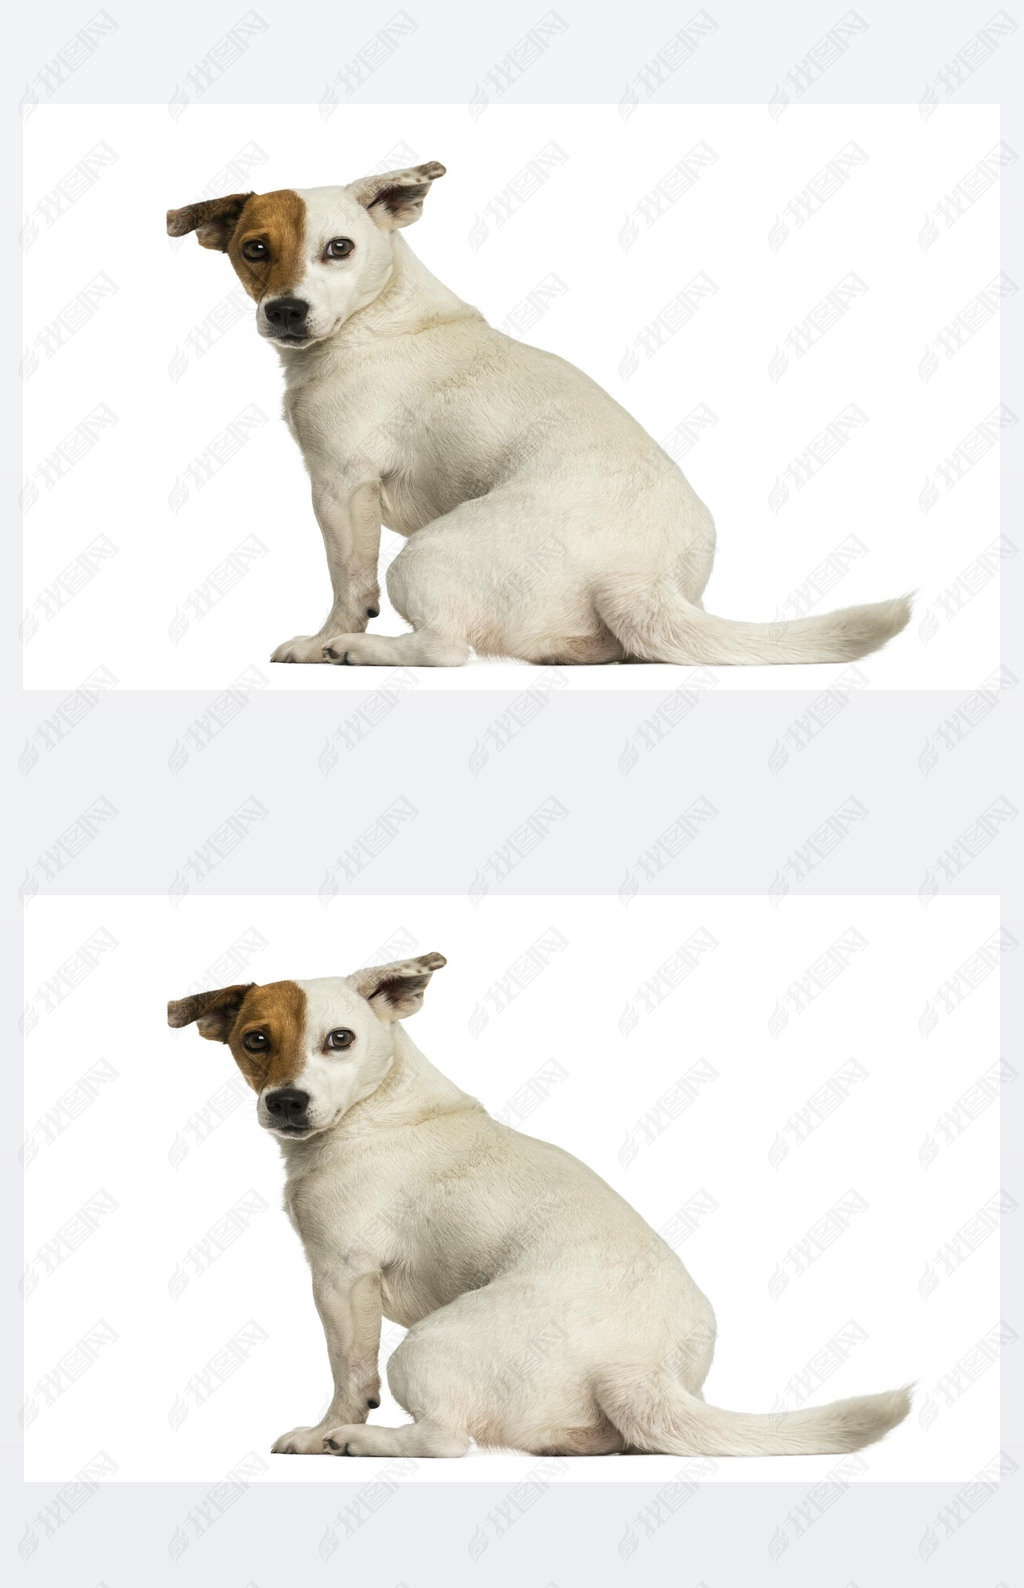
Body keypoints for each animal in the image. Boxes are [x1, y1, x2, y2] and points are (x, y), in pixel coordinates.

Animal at [167, 165, 908, 670]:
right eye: (254, 249)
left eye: (339, 248)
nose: (285, 312)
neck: (379, 316)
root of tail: (636, 576)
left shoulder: (340, 487)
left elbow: (349, 582)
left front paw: (322, 638)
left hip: (424, 554)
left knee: (446, 649)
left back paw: (355, 650)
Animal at [167, 946, 908, 1454]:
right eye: (254, 1041)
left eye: (339, 1040)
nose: (286, 1102)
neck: (379, 1107)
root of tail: (636, 1368)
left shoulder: (341, 1278)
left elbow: (349, 1374)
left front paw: (326, 1429)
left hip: (424, 1347)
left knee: (445, 1441)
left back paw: (357, 1443)